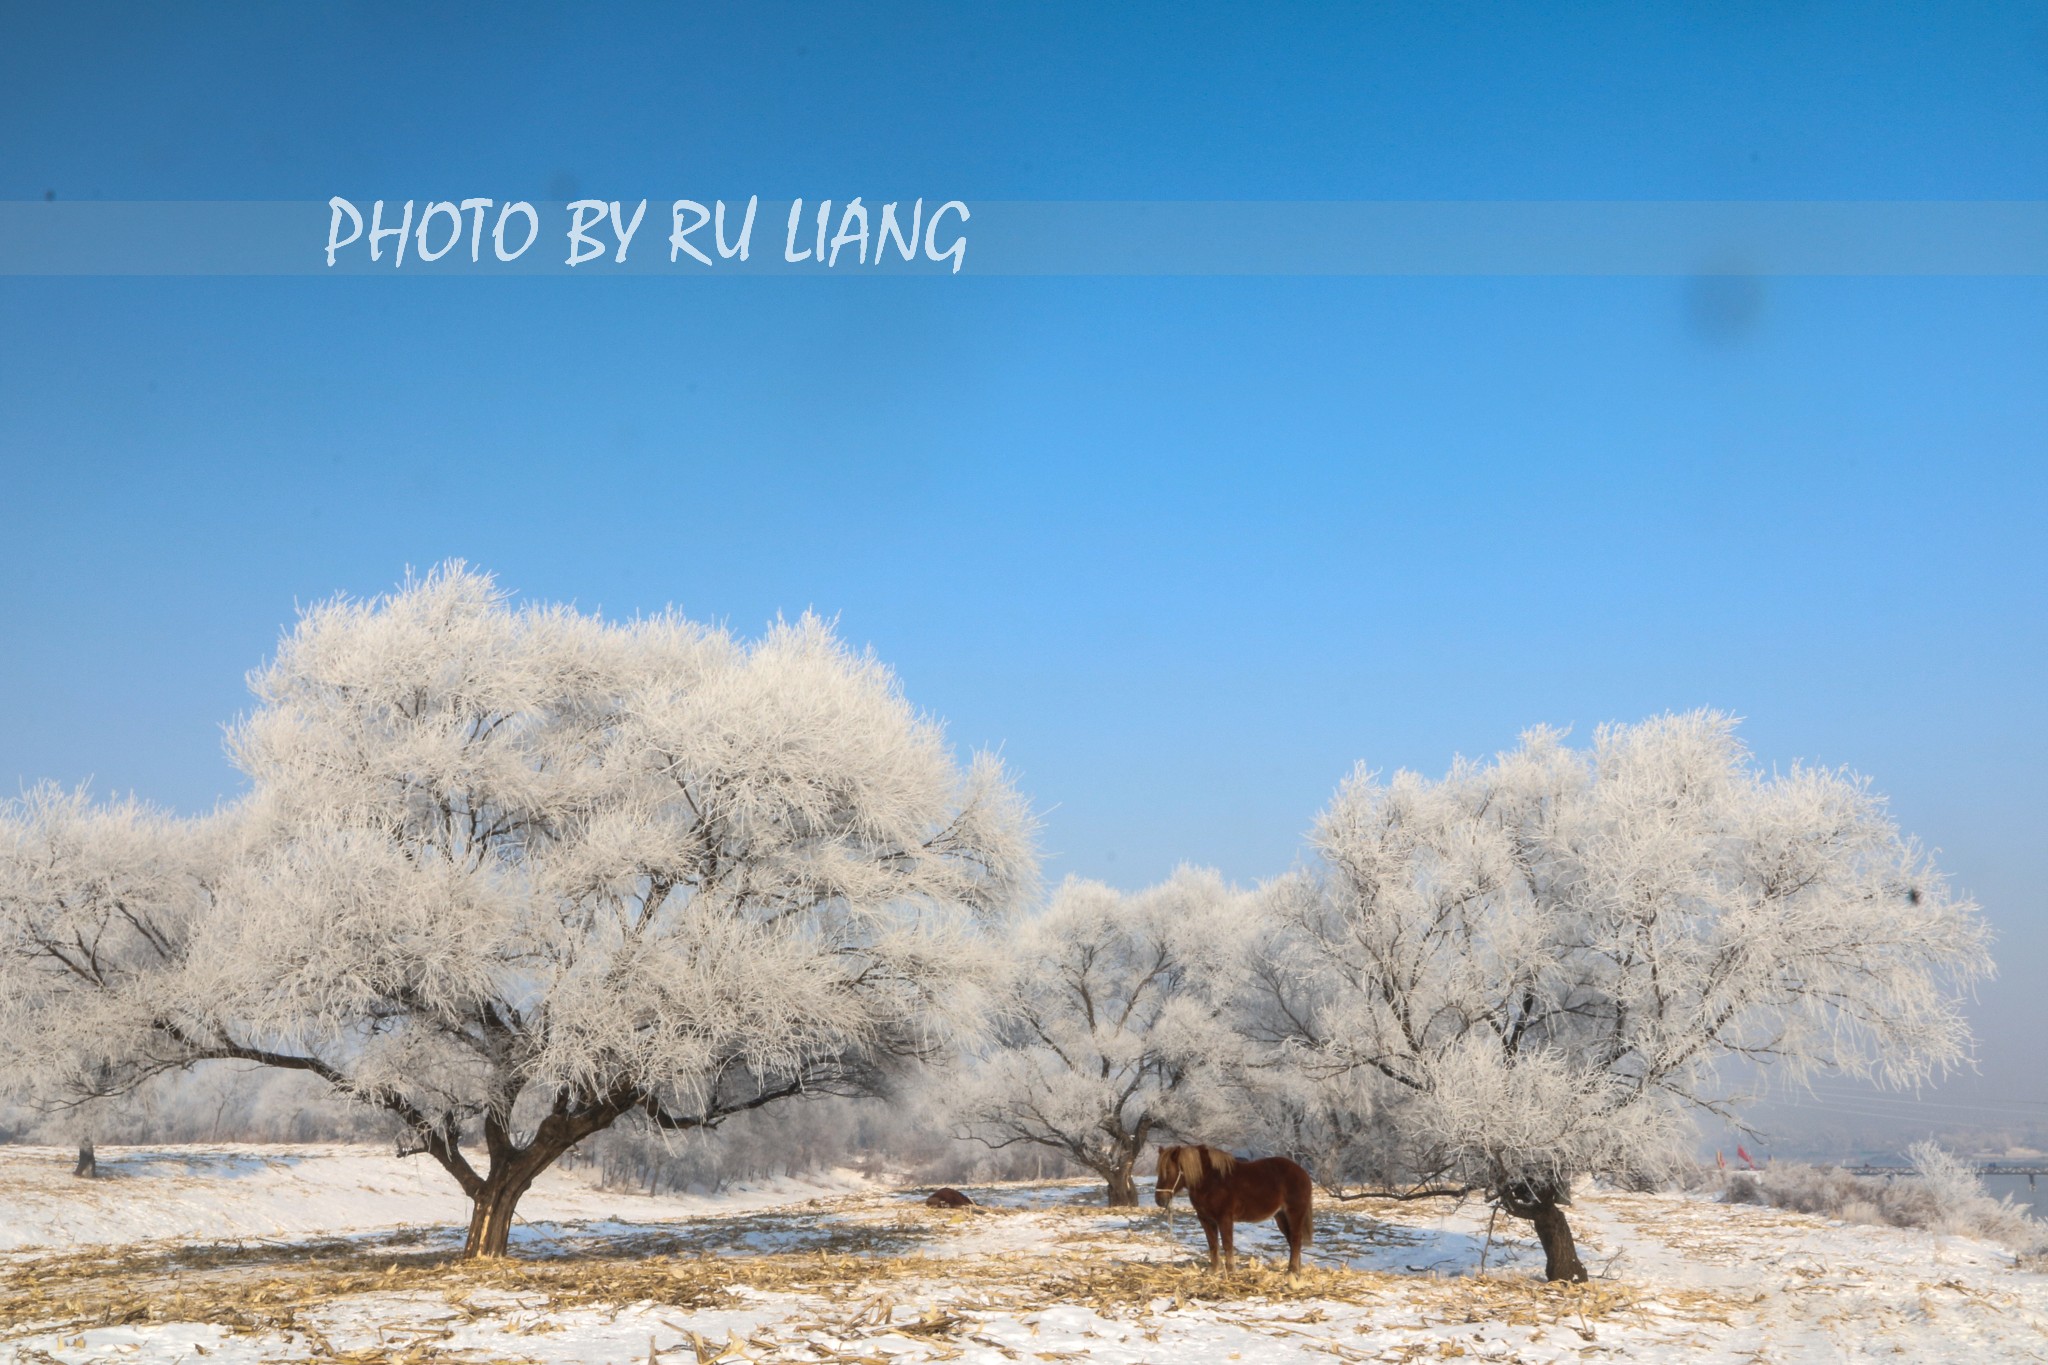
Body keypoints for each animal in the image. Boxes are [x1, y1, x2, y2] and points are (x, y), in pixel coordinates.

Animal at [1155, 1146, 1310, 1268]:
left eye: (1168, 1170)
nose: (1159, 1200)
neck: (1211, 1180)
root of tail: (1302, 1173)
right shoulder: (1205, 1219)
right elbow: (1213, 1245)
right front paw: (1214, 1271)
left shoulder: (1224, 1218)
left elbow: (1227, 1245)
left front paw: (1230, 1272)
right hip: (1281, 1216)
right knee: (1292, 1242)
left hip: (1295, 1214)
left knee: (1296, 1240)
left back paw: (1292, 1273)